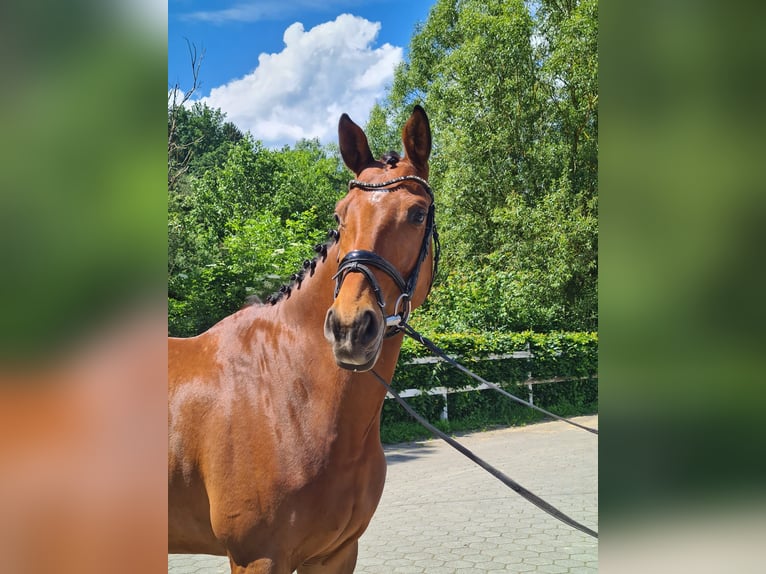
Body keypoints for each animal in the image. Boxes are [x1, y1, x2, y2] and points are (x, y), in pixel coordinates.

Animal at [171, 106, 440, 572]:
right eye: (340, 215)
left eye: (418, 214)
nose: (350, 329)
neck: (293, 393)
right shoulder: (257, 558)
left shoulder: (336, 553)